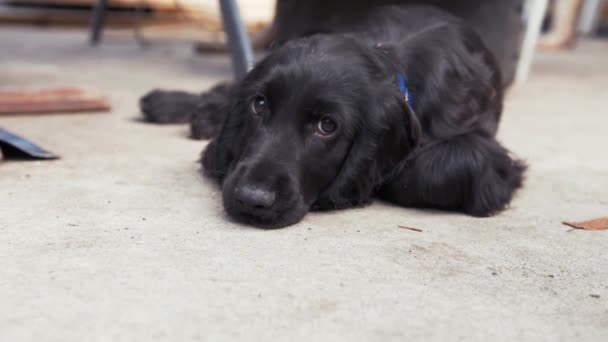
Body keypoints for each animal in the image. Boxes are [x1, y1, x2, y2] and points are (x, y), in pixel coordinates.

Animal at [140, 5, 524, 227]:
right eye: (259, 105)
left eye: (327, 126)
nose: (251, 199)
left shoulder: (487, 158)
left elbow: (427, 169)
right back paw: (170, 104)